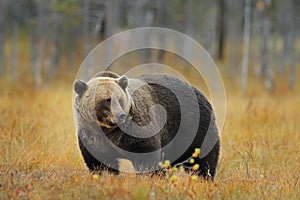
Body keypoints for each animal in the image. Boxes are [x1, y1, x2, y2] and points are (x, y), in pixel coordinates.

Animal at [74, 70, 219, 180]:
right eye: (107, 100)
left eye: (120, 99)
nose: (120, 115)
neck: (108, 131)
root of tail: (198, 91)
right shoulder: (92, 137)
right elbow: (100, 163)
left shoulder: (137, 129)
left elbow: (146, 155)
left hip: (193, 126)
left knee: (203, 157)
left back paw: (204, 178)